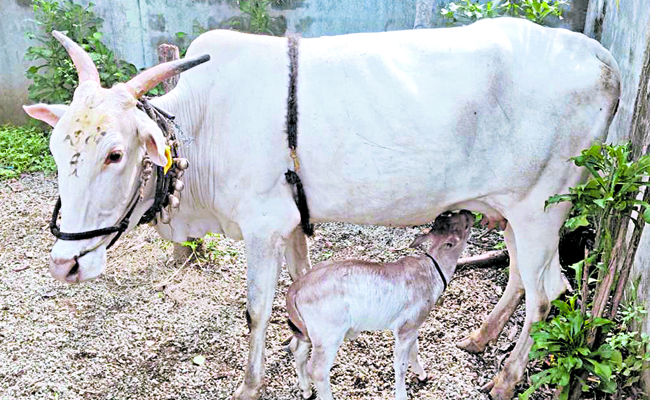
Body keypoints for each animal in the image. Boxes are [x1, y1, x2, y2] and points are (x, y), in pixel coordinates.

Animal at [23, 17, 620, 400]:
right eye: (56, 147)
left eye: (115, 153)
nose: (65, 263)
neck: (200, 128)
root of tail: (602, 58)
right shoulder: (289, 223)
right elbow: (300, 283)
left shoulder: (261, 227)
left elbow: (256, 310)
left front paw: (249, 386)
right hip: (512, 210)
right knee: (522, 275)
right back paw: (481, 337)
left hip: (542, 207)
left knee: (549, 292)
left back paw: (506, 378)